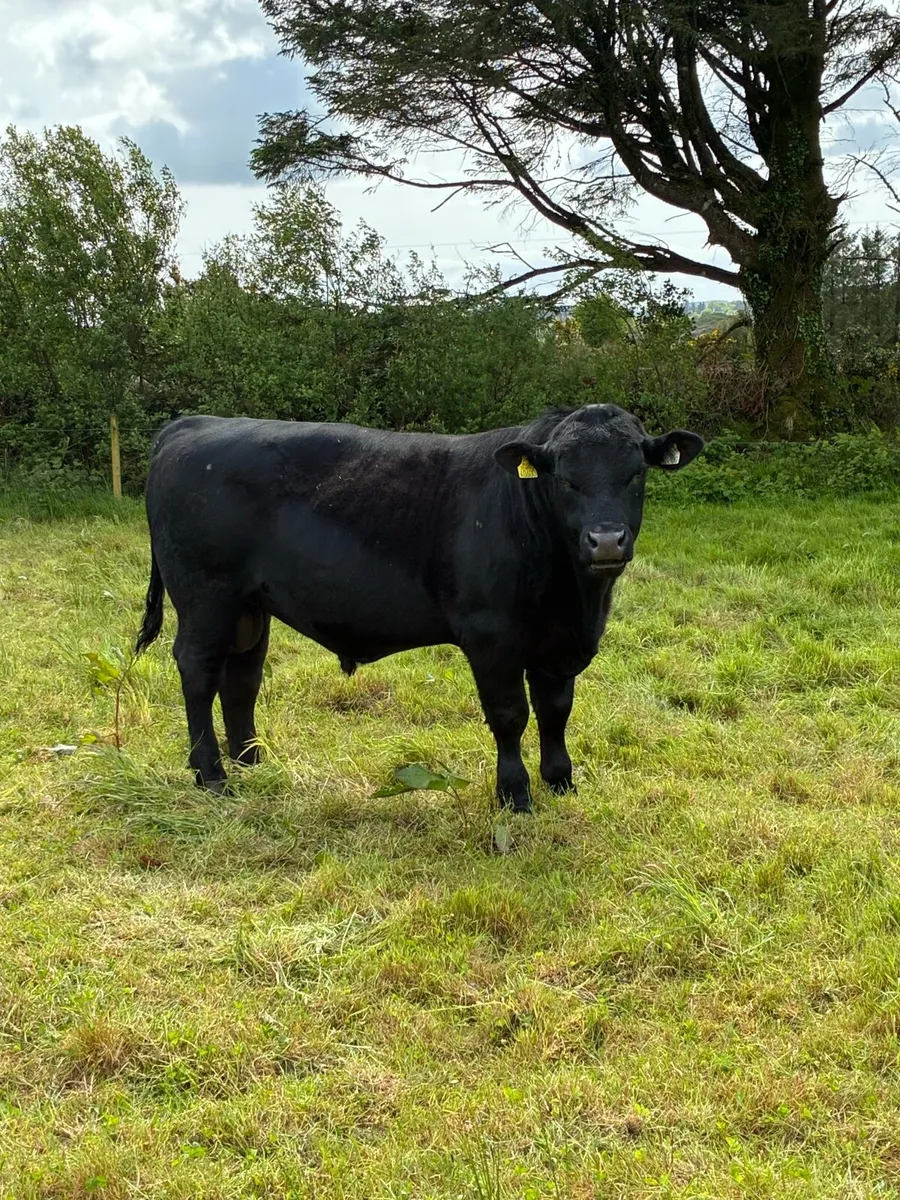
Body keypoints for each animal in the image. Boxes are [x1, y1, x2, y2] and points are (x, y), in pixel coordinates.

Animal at [135, 405, 703, 812]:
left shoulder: (559, 644)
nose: (605, 541)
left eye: (636, 474)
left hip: (250, 608)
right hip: (206, 597)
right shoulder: (492, 637)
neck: (575, 596)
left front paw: (561, 781)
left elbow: (556, 710)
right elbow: (510, 715)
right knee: (199, 672)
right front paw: (514, 794)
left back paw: (253, 761)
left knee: (242, 678)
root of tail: (192, 424)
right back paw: (212, 774)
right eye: (564, 478)